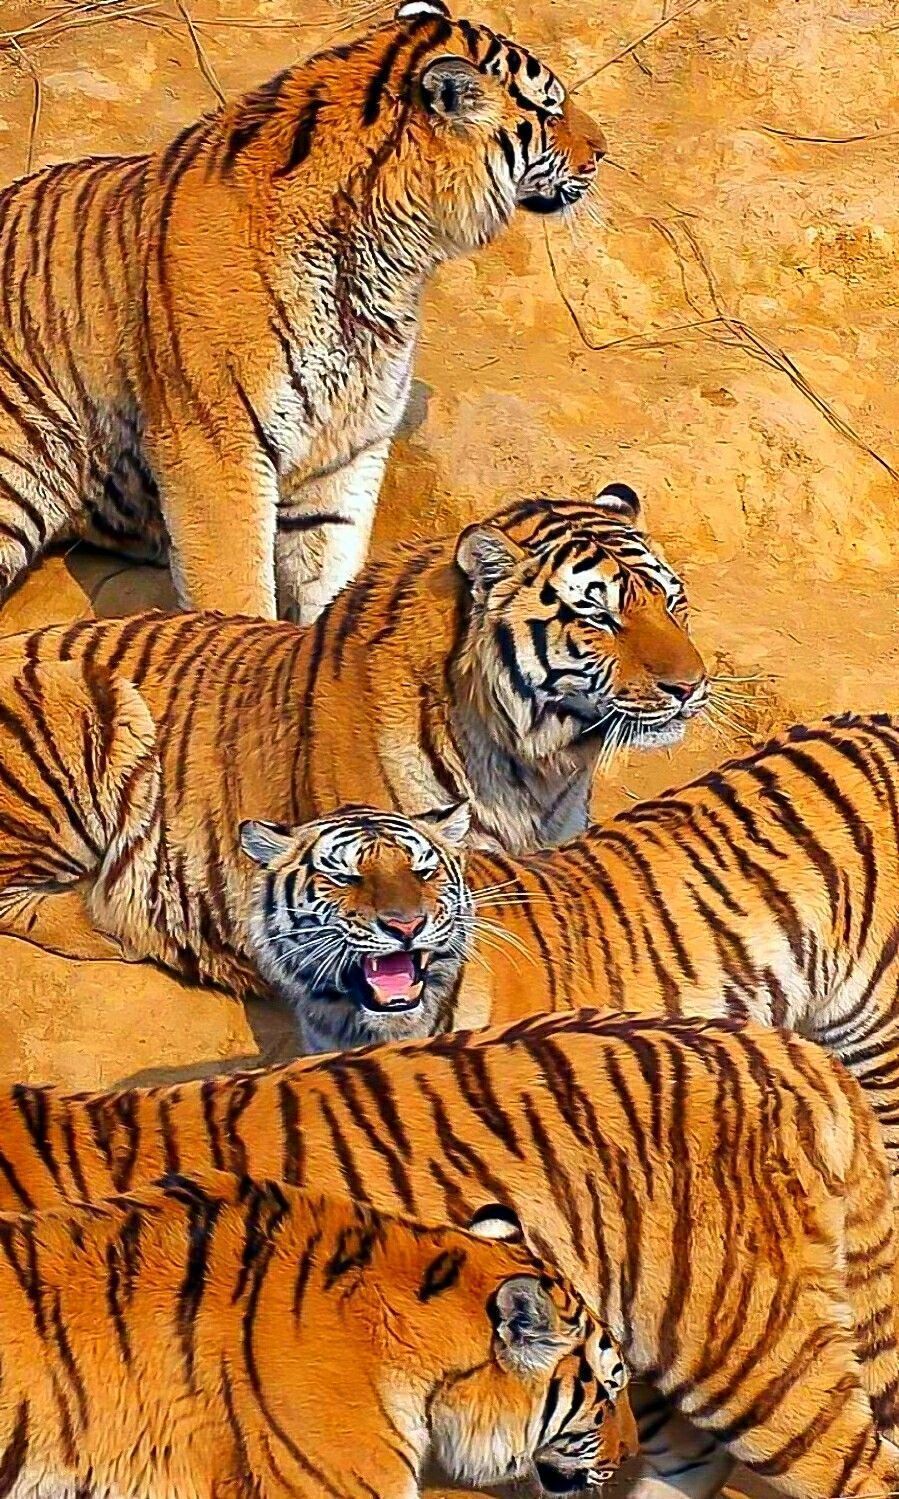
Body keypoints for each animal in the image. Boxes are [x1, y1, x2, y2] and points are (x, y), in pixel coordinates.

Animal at [0, 0, 607, 624]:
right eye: (550, 108)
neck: (393, 258)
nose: (603, 150)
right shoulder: (214, 444)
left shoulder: (341, 452)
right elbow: (234, 590)